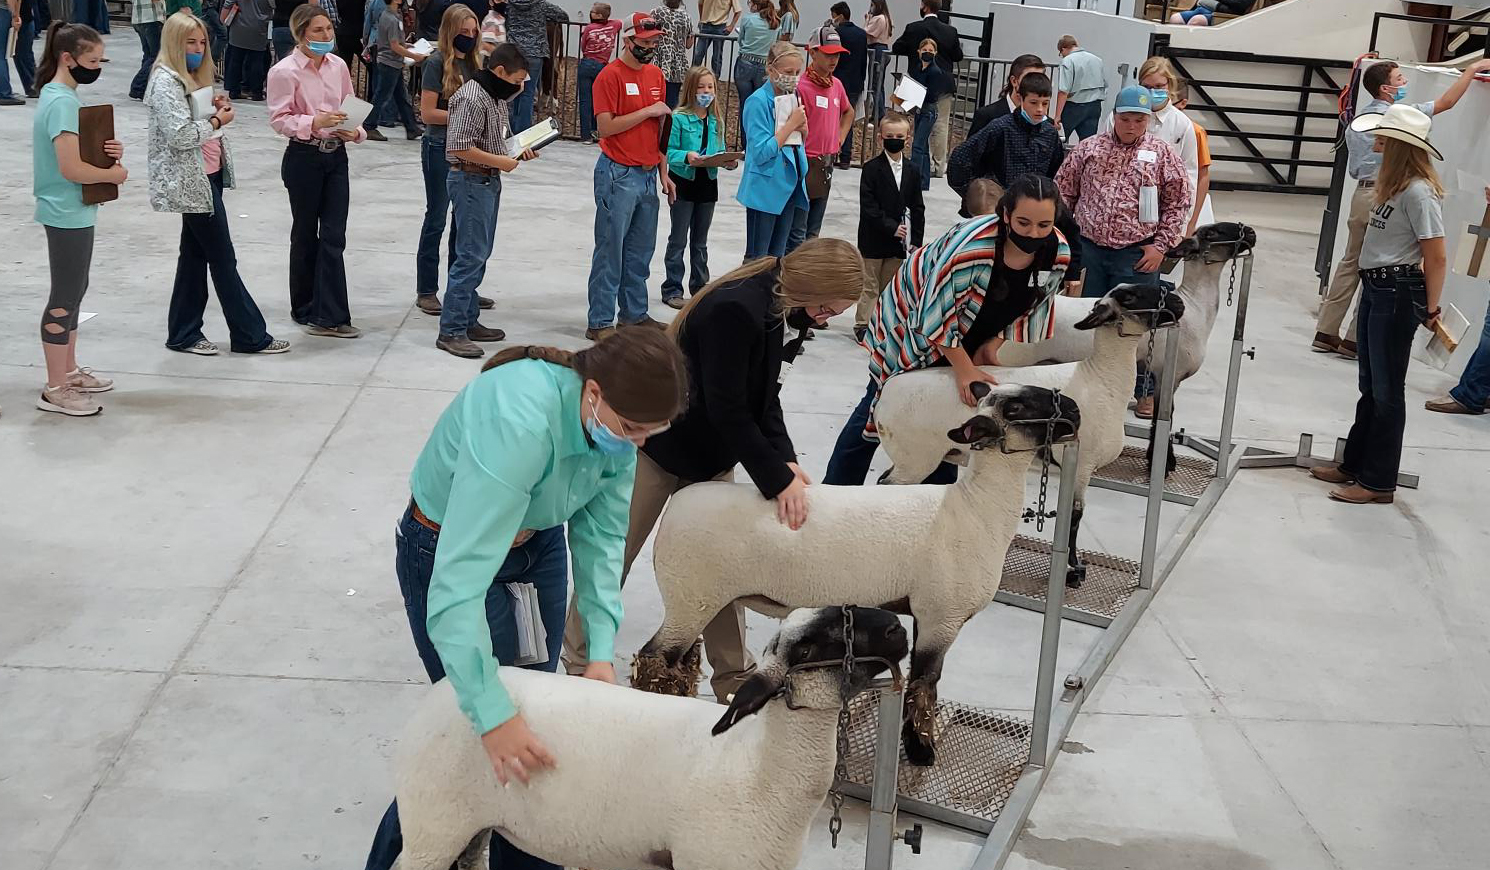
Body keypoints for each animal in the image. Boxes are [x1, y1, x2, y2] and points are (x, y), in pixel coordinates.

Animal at [384, 607, 905, 870]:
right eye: (810, 646)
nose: (898, 628)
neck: (757, 767)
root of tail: (442, 691)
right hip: (434, 826)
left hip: (469, 830)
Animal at [634, 384, 1078, 762]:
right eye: (1016, 408)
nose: (1074, 408)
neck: (973, 509)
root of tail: (676, 507)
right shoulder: (942, 616)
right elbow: (924, 685)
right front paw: (920, 752)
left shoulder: (927, 613)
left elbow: (920, 683)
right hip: (692, 596)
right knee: (655, 657)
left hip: (698, 599)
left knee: (678, 661)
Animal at [876, 286, 1180, 583]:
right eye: (1130, 296)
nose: (1178, 301)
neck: (1102, 377)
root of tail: (883, 399)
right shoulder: (1082, 464)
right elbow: (1075, 516)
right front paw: (1073, 568)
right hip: (915, 460)